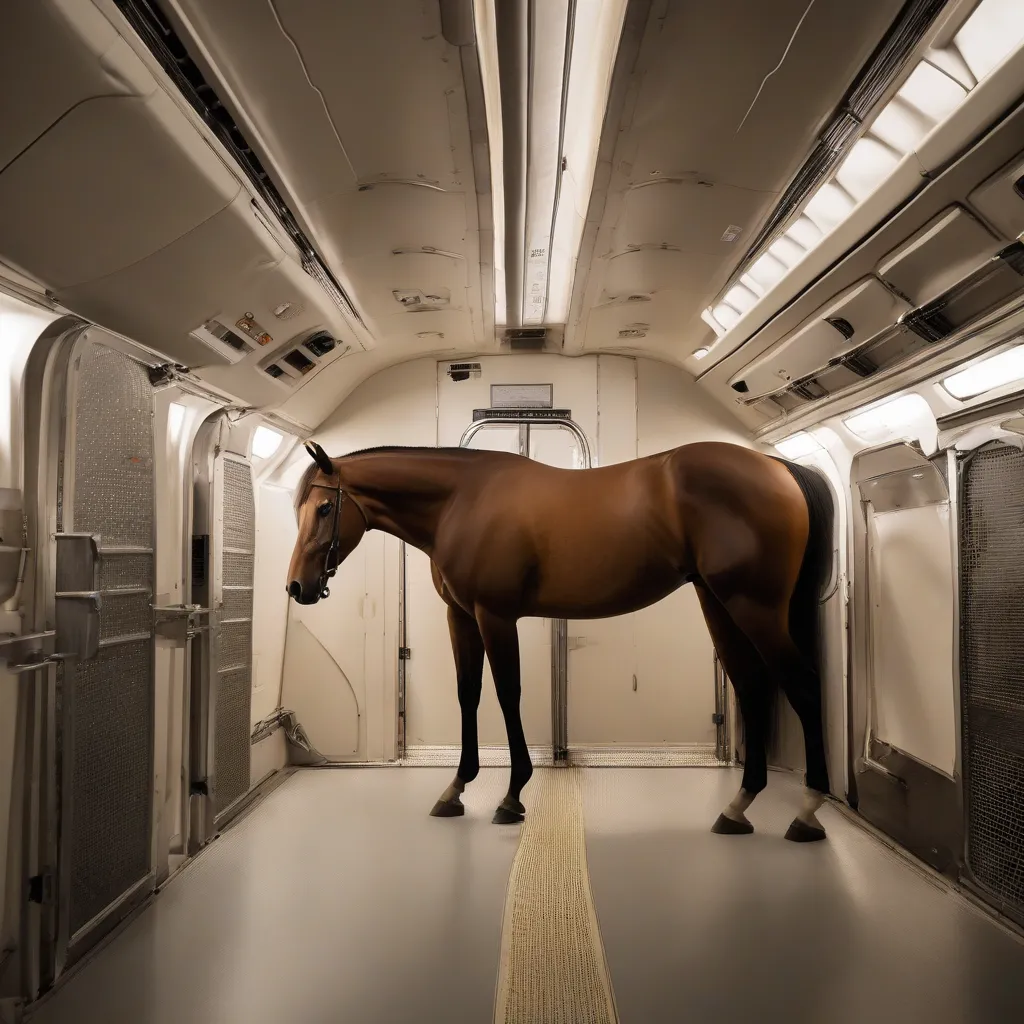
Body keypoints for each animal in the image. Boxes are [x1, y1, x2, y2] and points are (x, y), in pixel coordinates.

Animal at [284, 438, 835, 839]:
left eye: (325, 509)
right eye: (299, 510)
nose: (296, 587)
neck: (461, 502)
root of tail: (775, 466)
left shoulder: (495, 616)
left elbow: (508, 695)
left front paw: (512, 796)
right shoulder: (460, 617)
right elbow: (469, 694)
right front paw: (456, 788)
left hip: (753, 606)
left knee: (804, 685)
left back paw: (807, 812)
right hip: (720, 603)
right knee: (752, 686)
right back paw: (738, 807)